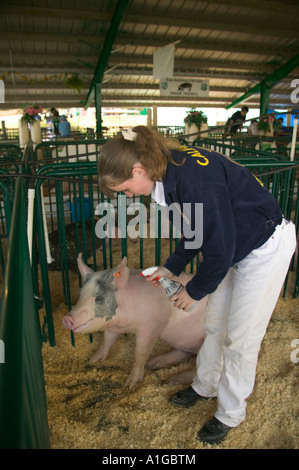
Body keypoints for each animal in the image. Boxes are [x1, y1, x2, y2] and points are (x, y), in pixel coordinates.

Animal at [62, 255, 209, 388]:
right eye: (80, 294)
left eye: (99, 298)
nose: (67, 319)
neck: (125, 324)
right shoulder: (112, 327)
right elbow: (107, 341)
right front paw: (93, 360)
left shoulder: (151, 327)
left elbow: (140, 354)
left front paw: (129, 385)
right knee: (183, 352)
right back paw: (154, 363)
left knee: (199, 369)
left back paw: (171, 382)